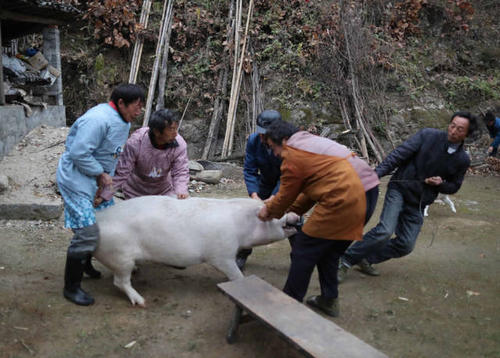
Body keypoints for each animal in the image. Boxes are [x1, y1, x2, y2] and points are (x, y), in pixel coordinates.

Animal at [94, 194, 298, 306]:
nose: (296, 216)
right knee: (119, 282)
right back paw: (142, 302)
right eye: (276, 214)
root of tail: (97, 220)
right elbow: (236, 274)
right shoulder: (221, 255)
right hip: (120, 256)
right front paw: (240, 284)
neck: (241, 226)